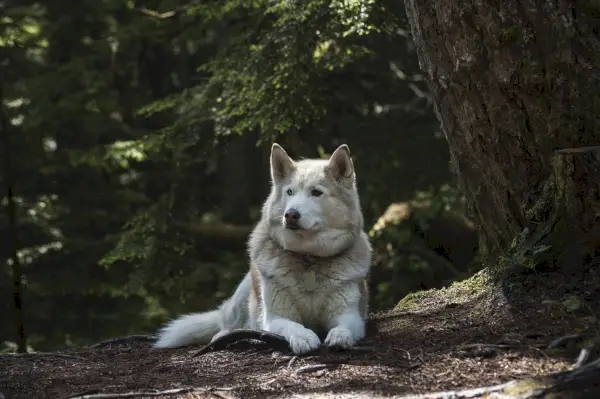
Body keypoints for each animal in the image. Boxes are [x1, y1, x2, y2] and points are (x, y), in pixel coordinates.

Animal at [154, 144, 370, 356]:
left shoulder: (350, 315)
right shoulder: (274, 318)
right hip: (244, 293)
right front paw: (304, 338)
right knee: (226, 326)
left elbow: (344, 327)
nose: (290, 215)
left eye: (316, 192)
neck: (308, 258)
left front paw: (340, 336)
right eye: (289, 192)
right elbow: (294, 326)